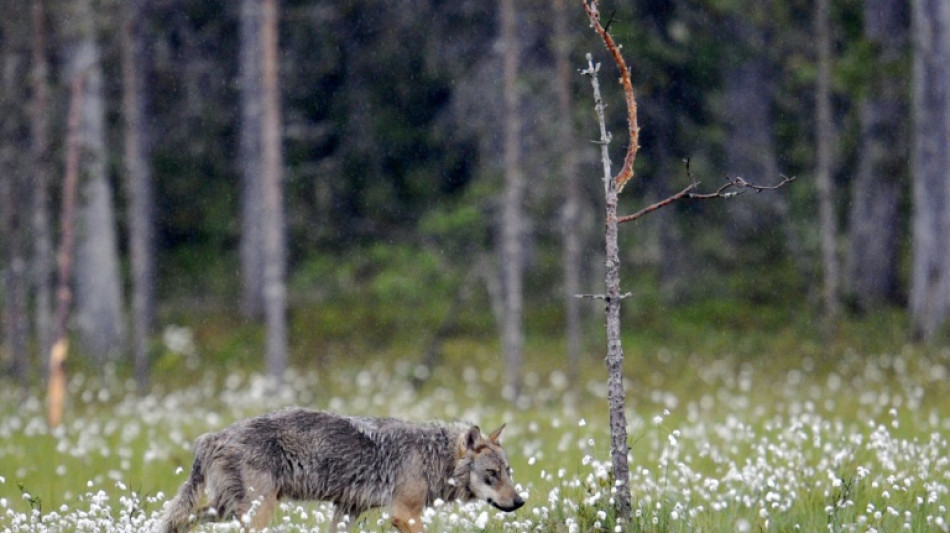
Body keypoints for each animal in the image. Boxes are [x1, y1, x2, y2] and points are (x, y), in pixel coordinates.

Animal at [158, 406, 528, 528]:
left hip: (224, 510)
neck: (431, 455)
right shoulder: (403, 514)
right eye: (492, 475)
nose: (520, 501)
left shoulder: (347, 509)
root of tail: (213, 436)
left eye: (508, 472)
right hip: (257, 512)